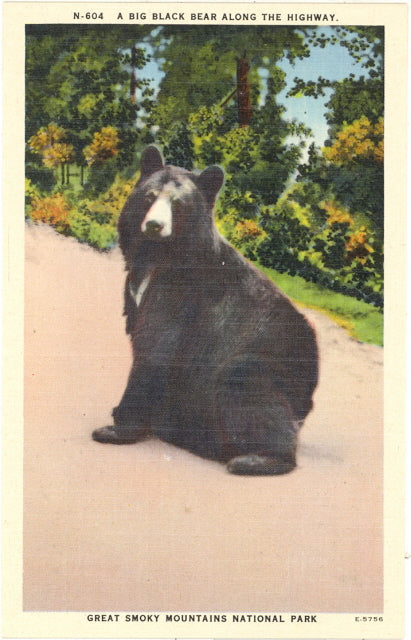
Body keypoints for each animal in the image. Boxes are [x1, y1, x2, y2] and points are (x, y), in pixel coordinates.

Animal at [92, 145, 319, 475]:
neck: (160, 255)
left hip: (269, 369)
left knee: (247, 386)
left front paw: (114, 429)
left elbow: (156, 346)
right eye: (150, 196)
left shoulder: (182, 295)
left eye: (177, 203)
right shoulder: (137, 290)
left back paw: (256, 459)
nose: (154, 225)